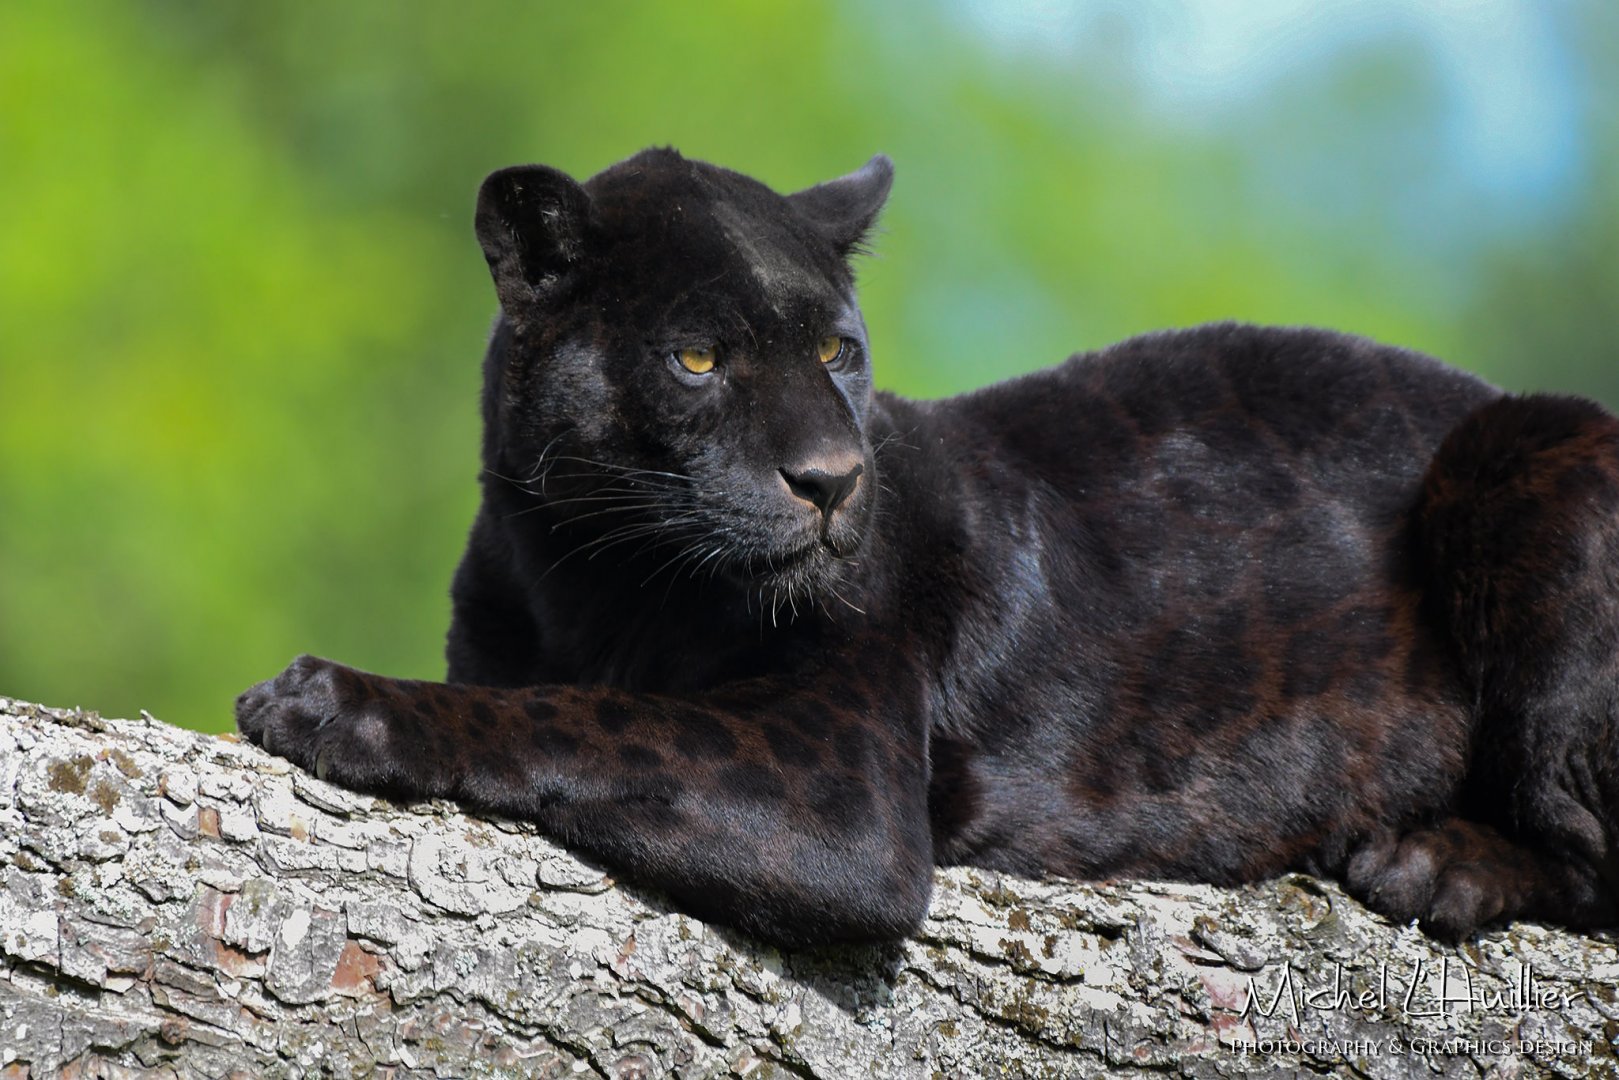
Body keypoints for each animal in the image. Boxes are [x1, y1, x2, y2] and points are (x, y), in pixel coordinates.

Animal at [237, 147, 1619, 947]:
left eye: (835, 350)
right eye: (697, 356)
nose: (831, 480)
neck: (592, 577)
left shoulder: (837, 778)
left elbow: (593, 719)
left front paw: (332, 701)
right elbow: (571, 703)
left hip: (1530, 460)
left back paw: (1429, 865)